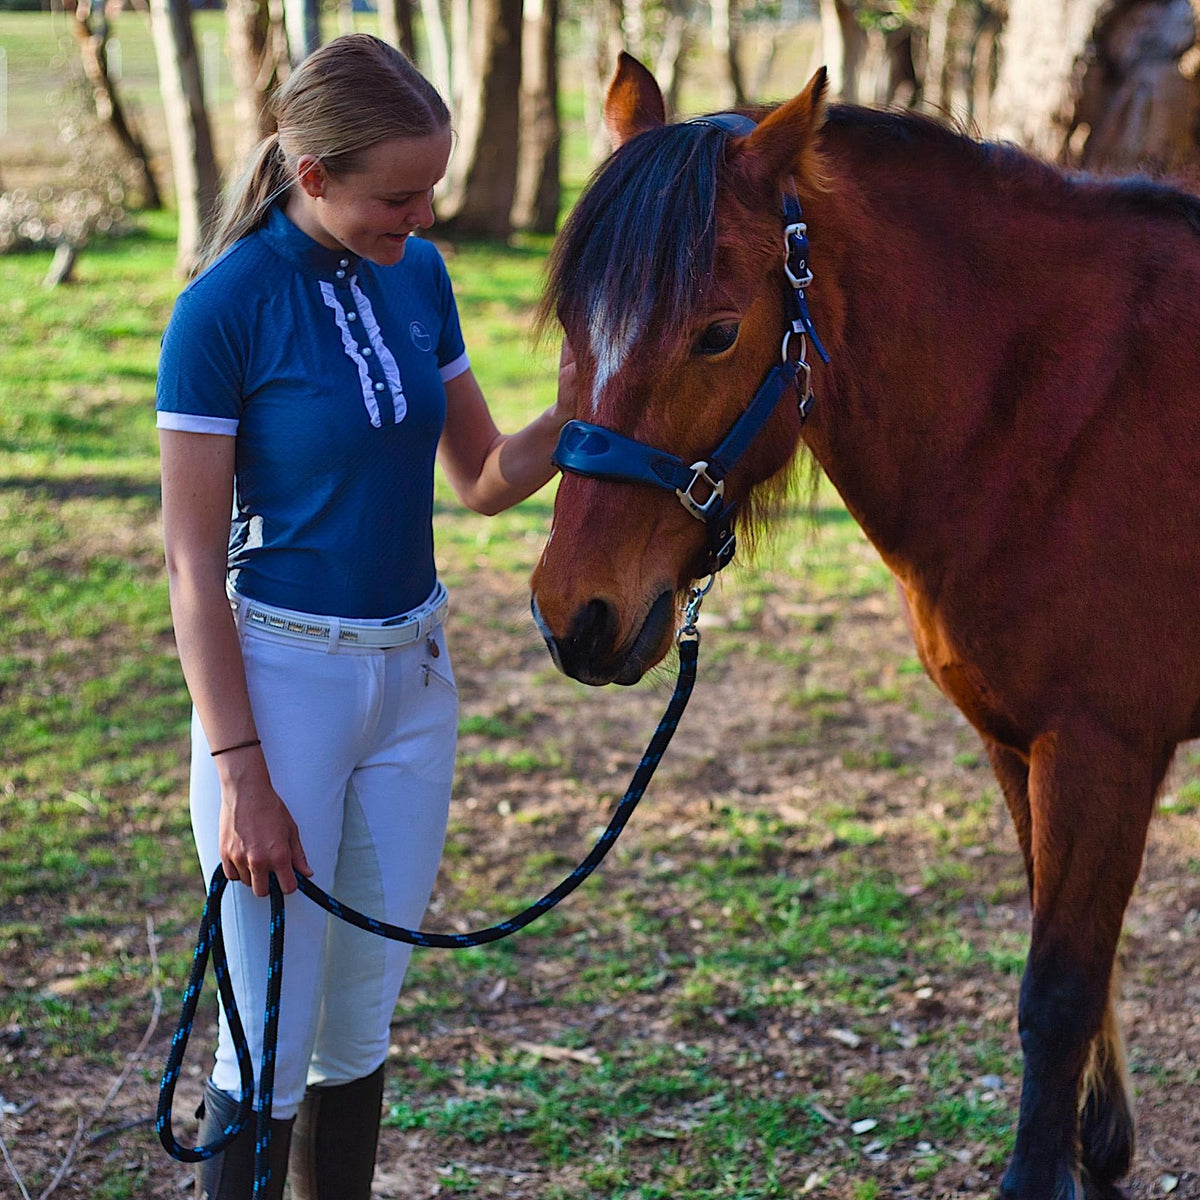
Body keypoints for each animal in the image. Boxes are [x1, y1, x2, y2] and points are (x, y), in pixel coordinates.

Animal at [530, 51, 1200, 1200]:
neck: (1066, 404)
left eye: (717, 332)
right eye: (575, 326)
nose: (577, 614)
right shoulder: (1019, 745)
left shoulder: (1102, 751)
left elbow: (1059, 990)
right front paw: (1098, 1146)